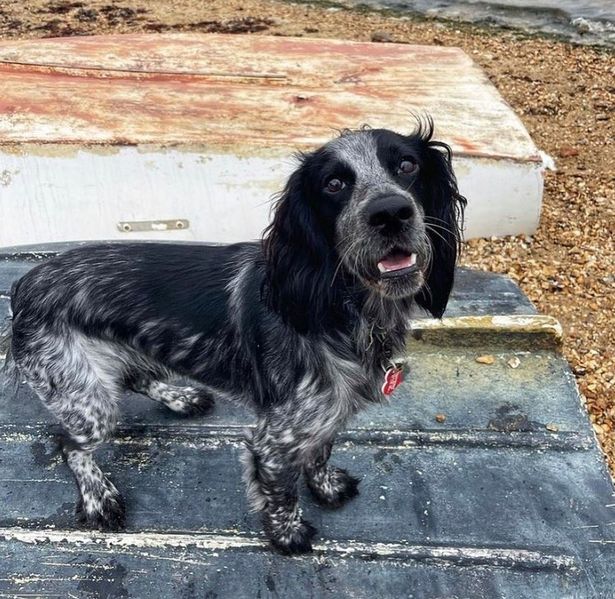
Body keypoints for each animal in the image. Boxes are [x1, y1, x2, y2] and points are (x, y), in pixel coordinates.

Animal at [3, 119, 466, 556]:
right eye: (333, 184)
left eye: (407, 166)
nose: (391, 212)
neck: (341, 311)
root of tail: (26, 285)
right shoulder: (274, 440)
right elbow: (282, 493)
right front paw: (287, 536)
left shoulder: (324, 416)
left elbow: (321, 452)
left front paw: (327, 487)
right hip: (86, 398)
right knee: (70, 445)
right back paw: (99, 497)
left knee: (136, 378)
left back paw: (181, 398)